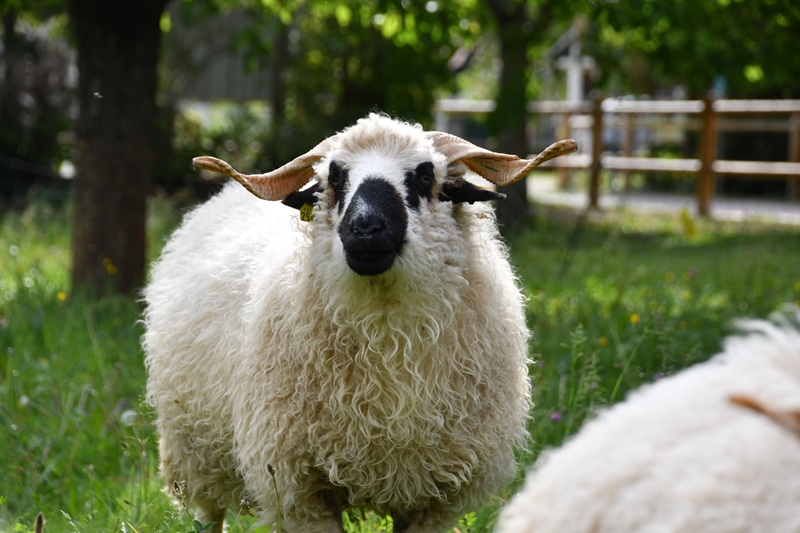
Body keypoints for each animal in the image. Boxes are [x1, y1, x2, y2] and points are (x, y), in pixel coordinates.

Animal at [143, 113, 577, 533]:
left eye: (425, 176)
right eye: (335, 178)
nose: (366, 227)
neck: (387, 339)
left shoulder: (436, 495)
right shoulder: (300, 488)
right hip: (193, 453)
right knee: (207, 514)